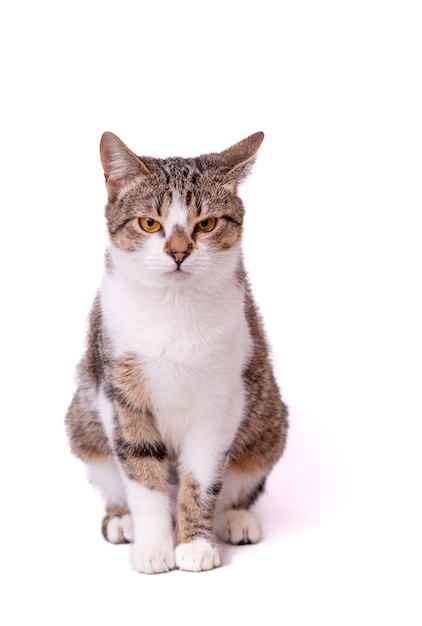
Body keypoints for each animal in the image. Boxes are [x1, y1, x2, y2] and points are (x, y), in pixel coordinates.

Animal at [66, 129, 288, 572]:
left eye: (207, 224)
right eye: (150, 223)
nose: (179, 252)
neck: (173, 307)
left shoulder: (221, 400)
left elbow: (201, 478)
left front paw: (196, 545)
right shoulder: (120, 392)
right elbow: (141, 470)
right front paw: (154, 547)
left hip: (269, 422)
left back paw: (235, 518)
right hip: (82, 421)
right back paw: (122, 520)